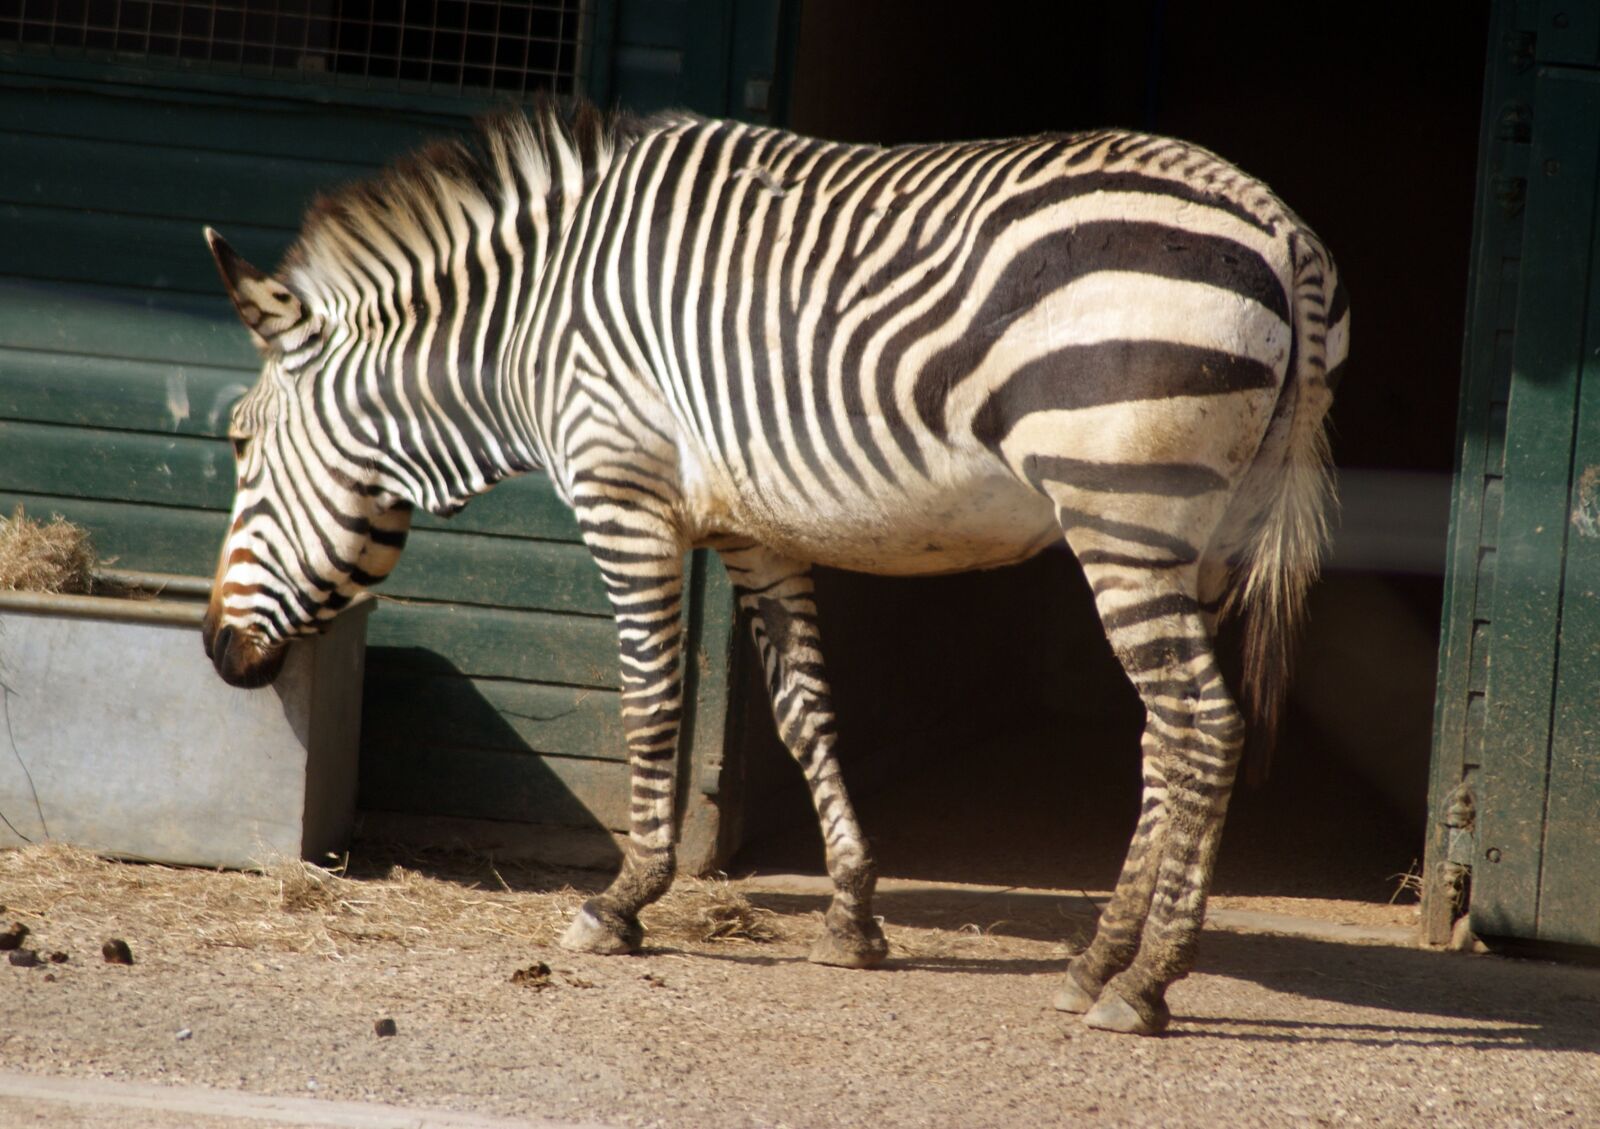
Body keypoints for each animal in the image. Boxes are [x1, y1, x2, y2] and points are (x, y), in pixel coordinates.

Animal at [201, 97, 1346, 1037]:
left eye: (239, 444)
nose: (216, 652)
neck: (529, 328)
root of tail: (1273, 222)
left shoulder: (625, 497)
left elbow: (652, 702)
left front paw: (624, 899)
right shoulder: (757, 530)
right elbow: (805, 714)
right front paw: (852, 915)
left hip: (1120, 507)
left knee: (1203, 727)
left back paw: (1146, 982)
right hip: (1193, 532)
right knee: (1166, 736)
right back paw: (1096, 959)